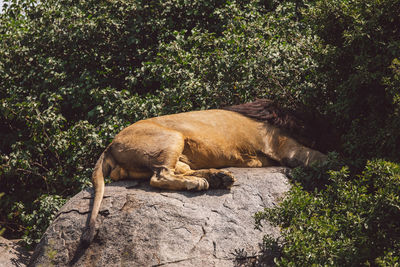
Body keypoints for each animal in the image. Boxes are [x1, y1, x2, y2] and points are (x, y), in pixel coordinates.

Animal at [80, 99, 324, 247]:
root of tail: (110, 145)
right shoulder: (285, 146)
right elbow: (321, 157)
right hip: (172, 137)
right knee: (159, 176)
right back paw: (202, 183)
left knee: (180, 171)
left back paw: (219, 177)